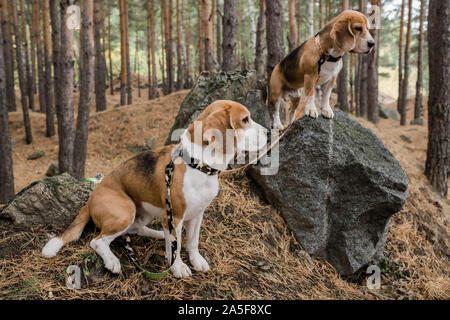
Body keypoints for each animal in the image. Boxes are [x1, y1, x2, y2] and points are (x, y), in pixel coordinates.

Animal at [41, 100, 268, 278]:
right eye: (245, 119)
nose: (268, 132)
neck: (198, 165)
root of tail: (90, 198)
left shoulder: (198, 214)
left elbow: (192, 242)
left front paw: (196, 261)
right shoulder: (175, 216)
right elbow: (177, 248)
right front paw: (178, 267)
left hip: (148, 213)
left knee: (137, 229)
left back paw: (159, 234)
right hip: (126, 210)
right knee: (98, 242)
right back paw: (112, 261)